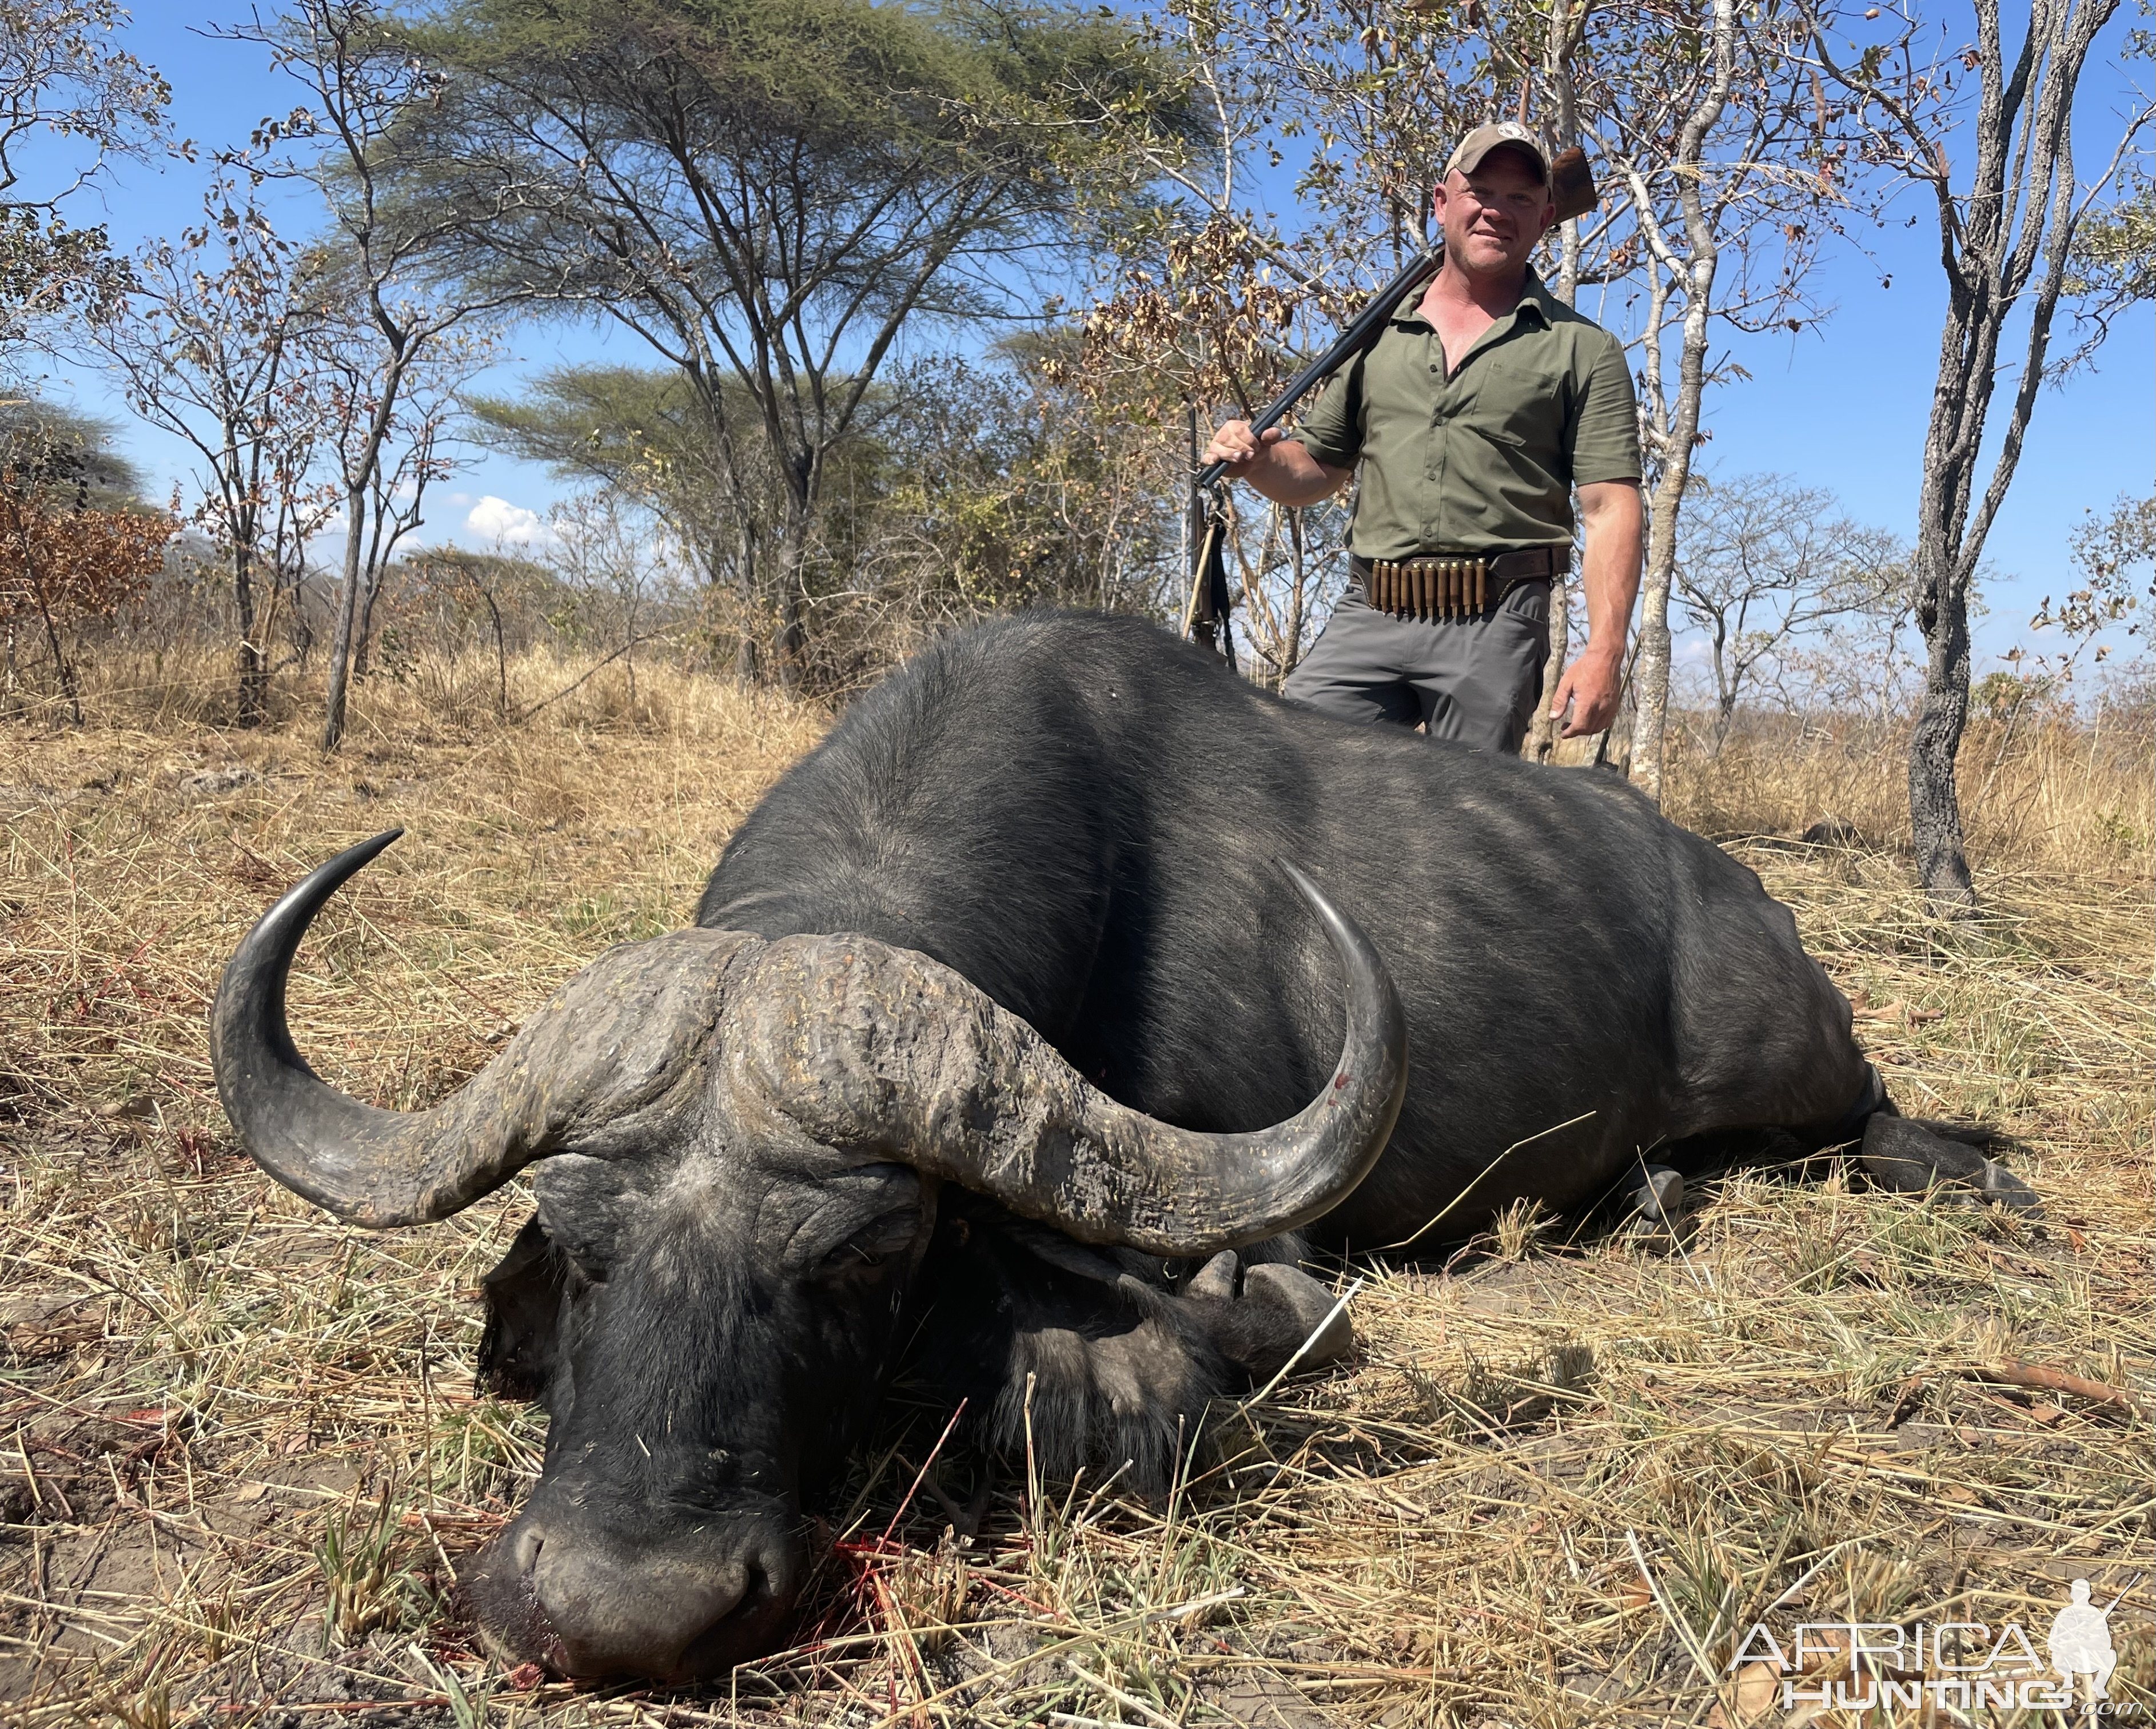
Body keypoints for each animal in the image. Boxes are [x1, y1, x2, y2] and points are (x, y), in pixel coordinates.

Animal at [210, 608, 2026, 1672]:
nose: (617, 1612)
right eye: (581, 1249)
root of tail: (1733, 893)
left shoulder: (1275, 1263)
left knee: (1881, 1132)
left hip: (1807, 1081)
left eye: (868, 1256)